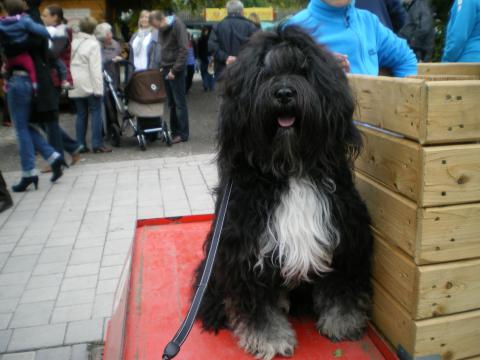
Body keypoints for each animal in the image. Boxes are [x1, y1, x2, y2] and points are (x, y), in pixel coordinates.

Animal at [193, 26, 374, 358]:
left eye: (304, 71)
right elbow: (258, 306)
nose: (285, 93)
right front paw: (269, 338)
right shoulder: (246, 250)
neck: (289, 168)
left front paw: (342, 322)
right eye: (264, 73)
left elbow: (341, 288)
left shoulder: (344, 238)